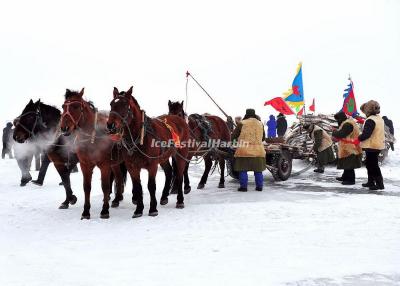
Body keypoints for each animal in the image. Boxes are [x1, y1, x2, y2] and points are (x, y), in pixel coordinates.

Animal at [59, 88, 125, 220]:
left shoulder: (104, 165)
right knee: (119, 177)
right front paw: (85, 212)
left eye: (75, 106)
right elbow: (87, 187)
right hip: (114, 163)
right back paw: (116, 199)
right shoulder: (85, 165)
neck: (92, 138)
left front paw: (104, 210)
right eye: (63, 106)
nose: (64, 128)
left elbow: (105, 186)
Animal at [105, 86, 188, 218]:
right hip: (163, 157)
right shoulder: (132, 167)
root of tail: (179, 119)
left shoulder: (152, 165)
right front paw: (139, 209)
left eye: (124, 105)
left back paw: (180, 200)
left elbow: (151, 186)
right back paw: (164, 197)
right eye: (111, 104)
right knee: (169, 171)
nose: (110, 125)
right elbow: (138, 187)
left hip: (180, 155)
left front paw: (153, 209)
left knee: (179, 176)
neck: (140, 137)